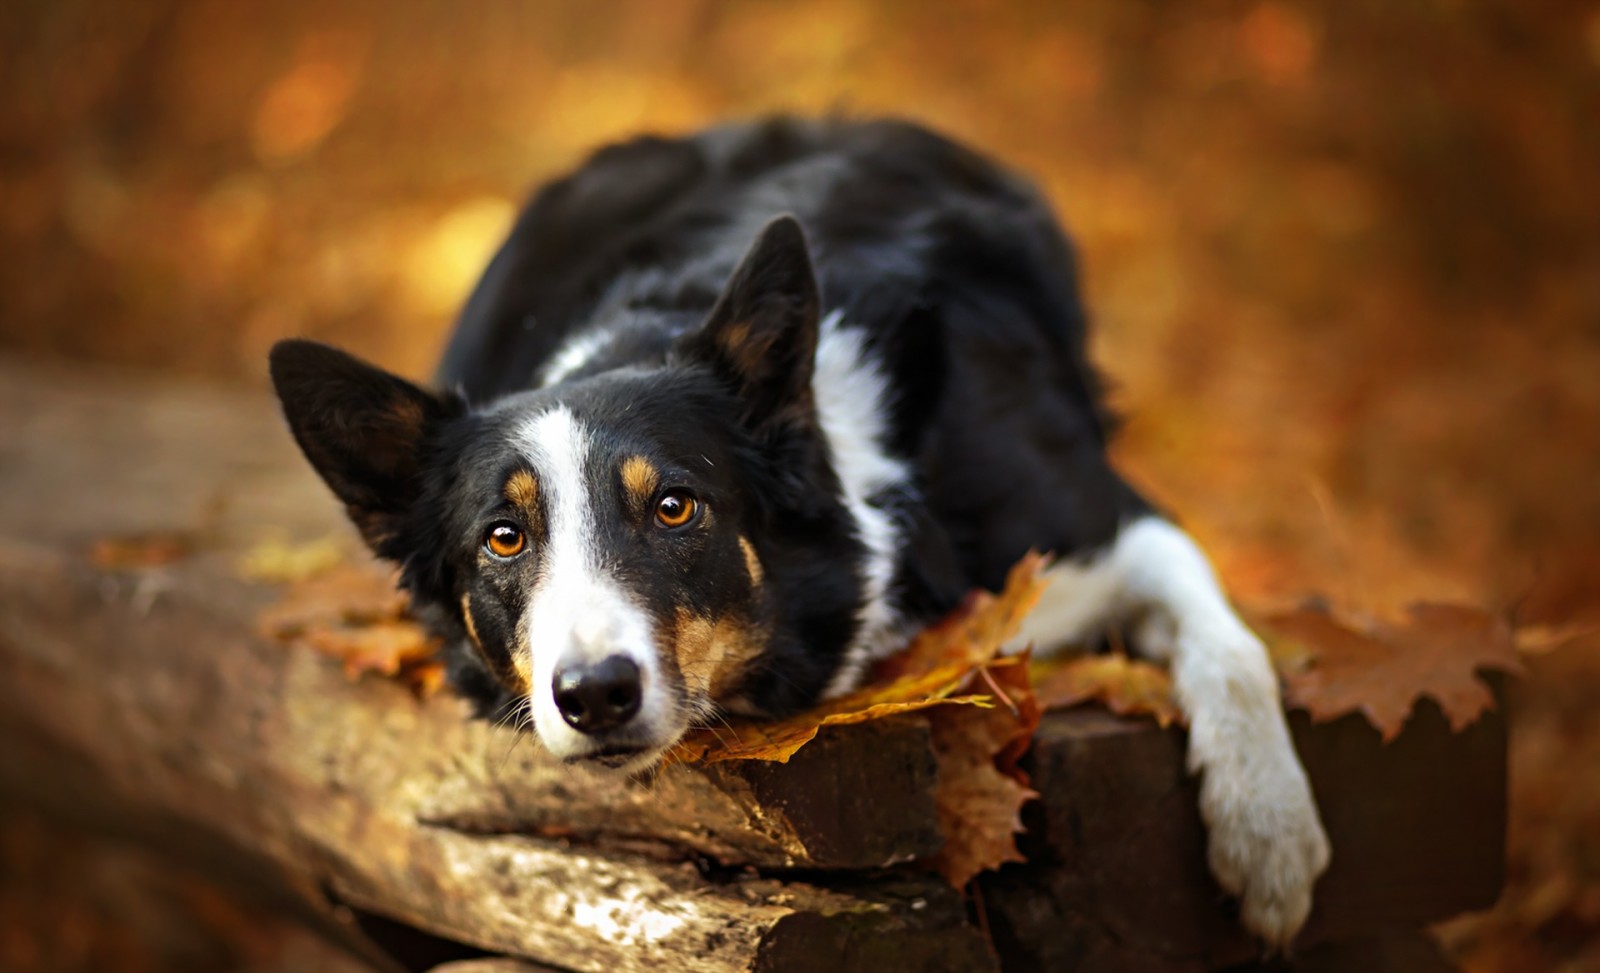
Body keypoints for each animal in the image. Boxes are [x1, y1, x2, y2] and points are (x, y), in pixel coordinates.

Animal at [268, 117, 1331, 947]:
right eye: (503, 537)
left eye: (676, 506)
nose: (596, 694)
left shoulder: (1099, 520)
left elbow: (1232, 646)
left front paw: (1270, 837)